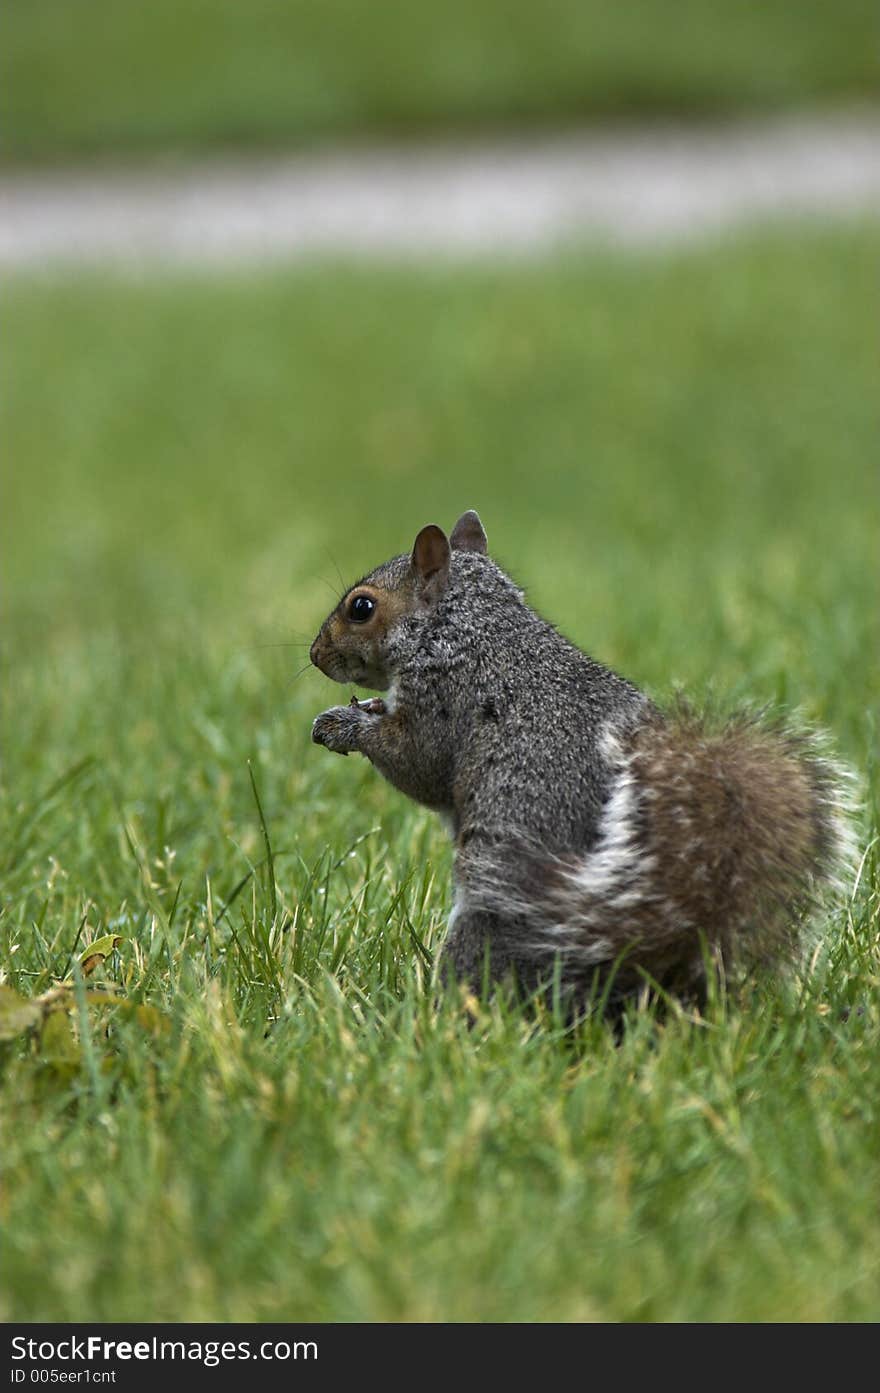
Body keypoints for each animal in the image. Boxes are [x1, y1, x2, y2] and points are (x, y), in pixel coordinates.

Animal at [309, 512, 852, 1014]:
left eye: (362, 607)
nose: (315, 655)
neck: (470, 627)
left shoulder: (445, 701)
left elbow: (418, 766)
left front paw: (344, 725)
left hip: (491, 924)